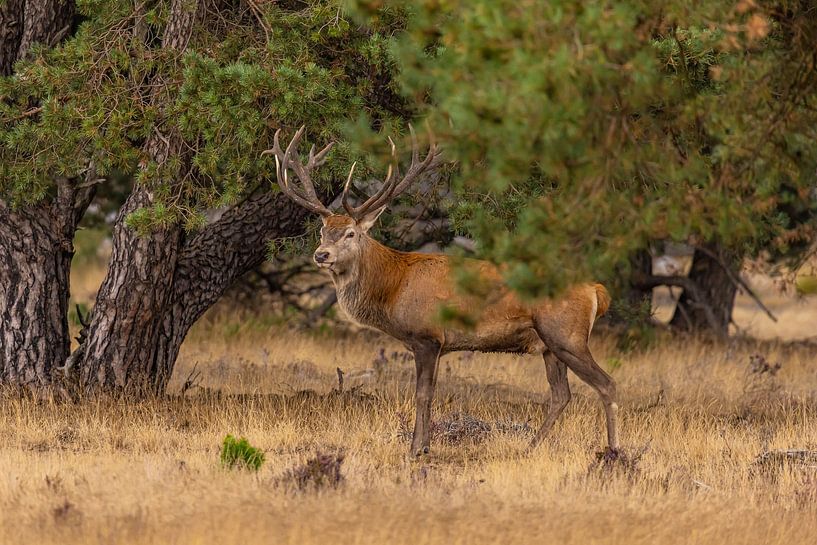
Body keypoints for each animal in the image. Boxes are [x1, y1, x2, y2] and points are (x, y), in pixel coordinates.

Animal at [262, 126, 619, 458]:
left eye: (351, 233)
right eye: (323, 230)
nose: (321, 255)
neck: (394, 288)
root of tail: (595, 289)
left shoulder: (428, 336)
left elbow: (423, 393)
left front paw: (416, 449)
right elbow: (428, 392)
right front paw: (422, 446)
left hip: (566, 335)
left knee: (607, 384)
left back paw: (614, 451)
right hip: (548, 346)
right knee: (561, 395)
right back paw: (530, 448)